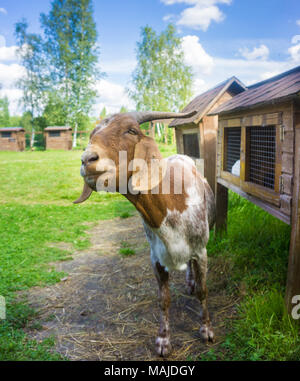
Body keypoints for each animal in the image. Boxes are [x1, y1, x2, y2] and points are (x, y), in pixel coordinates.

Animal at [74, 110, 216, 356]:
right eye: (91, 134)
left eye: (131, 131)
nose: (87, 159)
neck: (172, 202)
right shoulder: (155, 258)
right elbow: (164, 299)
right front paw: (163, 340)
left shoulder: (201, 251)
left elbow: (203, 291)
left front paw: (206, 329)